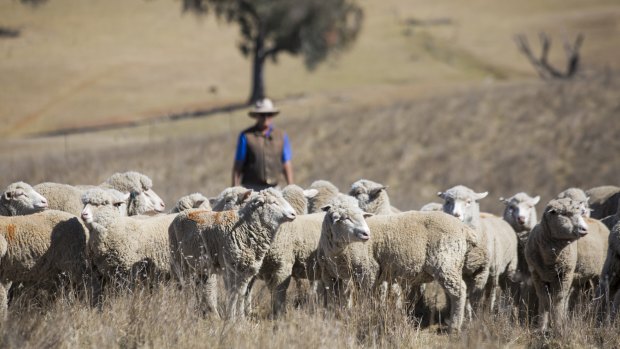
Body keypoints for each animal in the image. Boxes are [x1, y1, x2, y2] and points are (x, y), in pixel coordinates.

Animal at [168, 188, 296, 318]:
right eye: (273, 202)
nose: (293, 214)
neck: (244, 227)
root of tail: (184, 212)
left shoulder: (246, 270)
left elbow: (242, 294)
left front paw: (241, 318)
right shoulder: (230, 268)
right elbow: (233, 295)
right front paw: (231, 318)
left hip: (201, 267)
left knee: (201, 288)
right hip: (180, 261)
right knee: (186, 286)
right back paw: (187, 310)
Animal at [320, 193, 474, 332]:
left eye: (362, 216)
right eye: (345, 218)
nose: (366, 234)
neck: (339, 250)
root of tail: (463, 228)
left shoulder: (368, 270)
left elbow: (366, 297)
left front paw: (365, 315)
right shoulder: (337, 277)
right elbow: (338, 299)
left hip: (445, 261)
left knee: (459, 290)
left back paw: (454, 326)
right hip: (453, 262)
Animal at [438, 184, 520, 312]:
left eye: (468, 202)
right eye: (448, 201)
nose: (456, 215)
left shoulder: (482, 271)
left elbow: (475, 296)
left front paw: (474, 314)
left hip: (502, 267)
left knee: (492, 290)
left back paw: (490, 310)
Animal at [524, 197, 588, 330]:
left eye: (581, 213)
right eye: (565, 214)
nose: (585, 229)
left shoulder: (565, 274)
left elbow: (558, 299)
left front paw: (558, 325)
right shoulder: (537, 274)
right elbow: (543, 298)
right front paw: (541, 327)